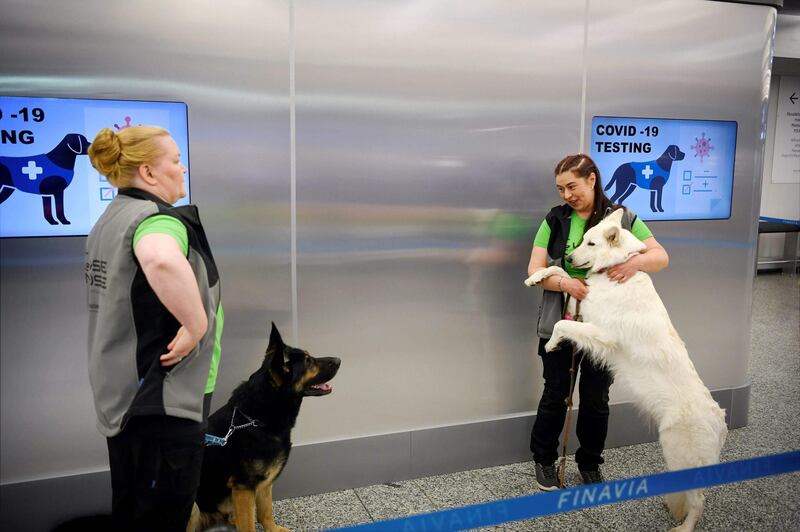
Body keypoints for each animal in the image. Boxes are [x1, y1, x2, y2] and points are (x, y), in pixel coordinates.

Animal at [189, 322, 342, 528]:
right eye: (309, 361)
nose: (339, 359)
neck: (255, 420)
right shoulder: (243, 488)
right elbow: (249, 525)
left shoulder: (265, 483)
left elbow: (265, 513)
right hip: (193, 506)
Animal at [524, 209, 724, 532]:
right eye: (582, 239)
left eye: (591, 243)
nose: (569, 257)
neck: (613, 269)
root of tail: (721, 422)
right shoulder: (583, 297)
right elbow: (563, 277)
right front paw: (535, 277)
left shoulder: (601, 332)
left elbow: (562, 323)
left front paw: (553, 343)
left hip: (677, 452)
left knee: (699, 500)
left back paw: (684, 527)